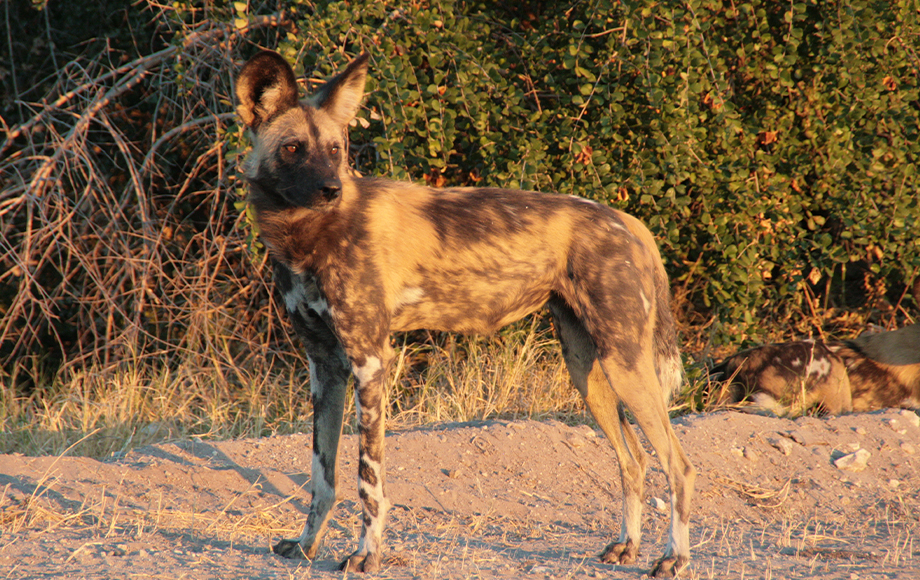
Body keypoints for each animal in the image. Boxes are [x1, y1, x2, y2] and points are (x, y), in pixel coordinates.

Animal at [237, 51, 696, 580]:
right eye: (293, 148)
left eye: (334, 150)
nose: (331, 188)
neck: (306, 235)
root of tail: (630, 222)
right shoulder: (324, 366)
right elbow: (322, 474)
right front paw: (306, 545)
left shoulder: (370, 361)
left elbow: (368, 480)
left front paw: (366, 555)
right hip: (588, 371)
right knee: (635, 460)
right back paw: (627, 547)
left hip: (626, 366)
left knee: (678, 465)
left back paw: (674, 557)